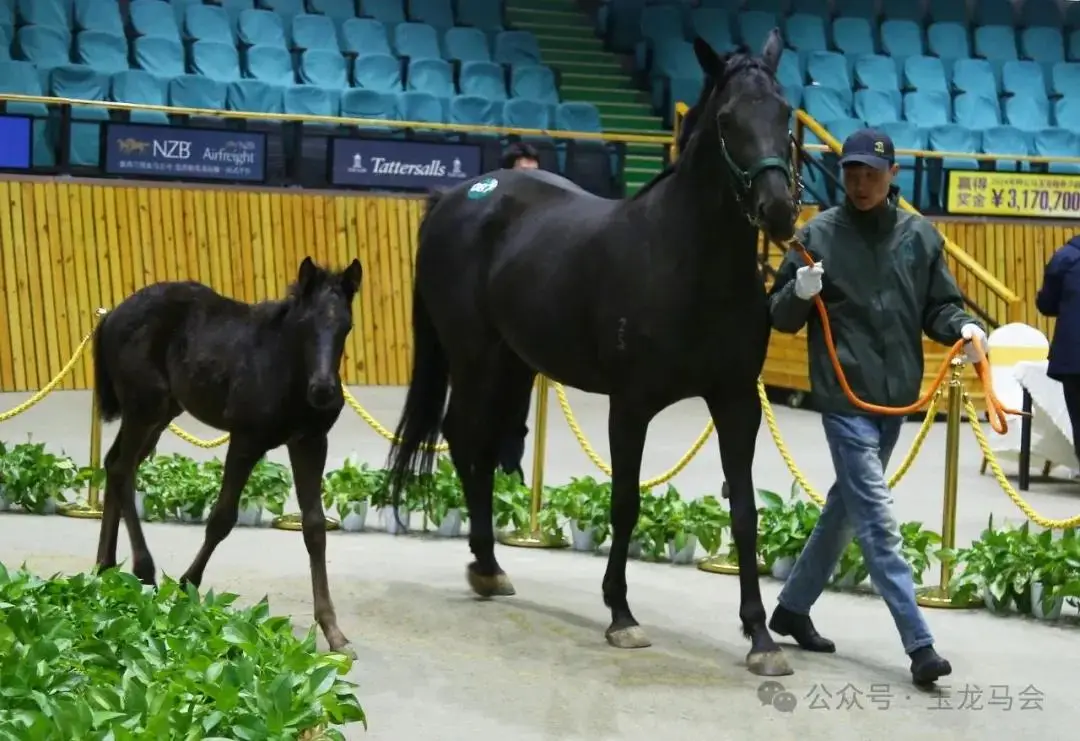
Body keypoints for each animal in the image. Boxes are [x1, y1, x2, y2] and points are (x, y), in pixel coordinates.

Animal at [92, 256, 363, 657]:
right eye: (305, 323)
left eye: (346, 325)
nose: (324, 390)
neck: (287, 370)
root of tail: (111, 315)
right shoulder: (246, 440)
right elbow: (222, 518)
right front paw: (187, 585)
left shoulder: (310, 442)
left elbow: (314, 528)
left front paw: (334, 631)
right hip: (145, 405)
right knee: (123, 470)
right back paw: (144, 569)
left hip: (162, 411)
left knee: (113, 464)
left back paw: (105, 567)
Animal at [385, 30, 800, 676]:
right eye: (728, 119)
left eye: (784, 114)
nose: (778, 209)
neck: (688, 263)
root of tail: (459, 195)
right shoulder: (630, 405)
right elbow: (625, 501)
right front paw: (621, 615)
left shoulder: (736, 402)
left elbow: (746, 512)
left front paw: (760, 637)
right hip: (475, 356)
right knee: (464, 437)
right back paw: (485, 566)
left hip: (513, 362)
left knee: (480, 445)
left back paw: (489, 567)